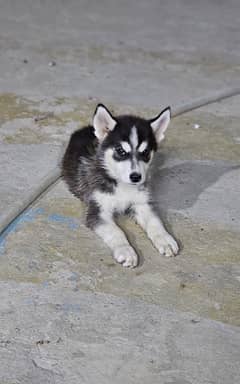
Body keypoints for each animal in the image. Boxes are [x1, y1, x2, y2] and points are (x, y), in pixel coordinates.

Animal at [62, 104, 179, 268]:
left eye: (145, 152)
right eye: (121, 151)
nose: (136, 177)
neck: (123, 185)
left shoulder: (142, 203)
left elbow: (155, 221)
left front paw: (165, 239)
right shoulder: (98, 210)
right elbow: (116, 232)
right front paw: (126, 251)